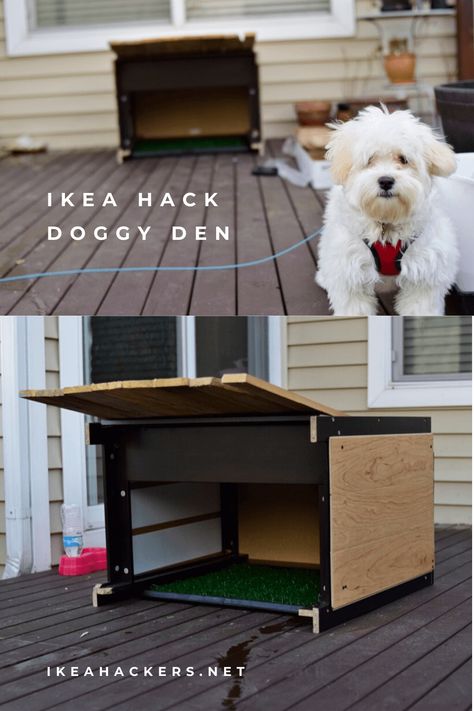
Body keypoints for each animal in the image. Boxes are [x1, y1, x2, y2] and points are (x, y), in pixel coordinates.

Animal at [314, 104, 460, 316]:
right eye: (370, 159)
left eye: (403, 159)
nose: (385, 181)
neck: (386, 223)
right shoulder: (349, 272)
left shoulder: (425, 275)